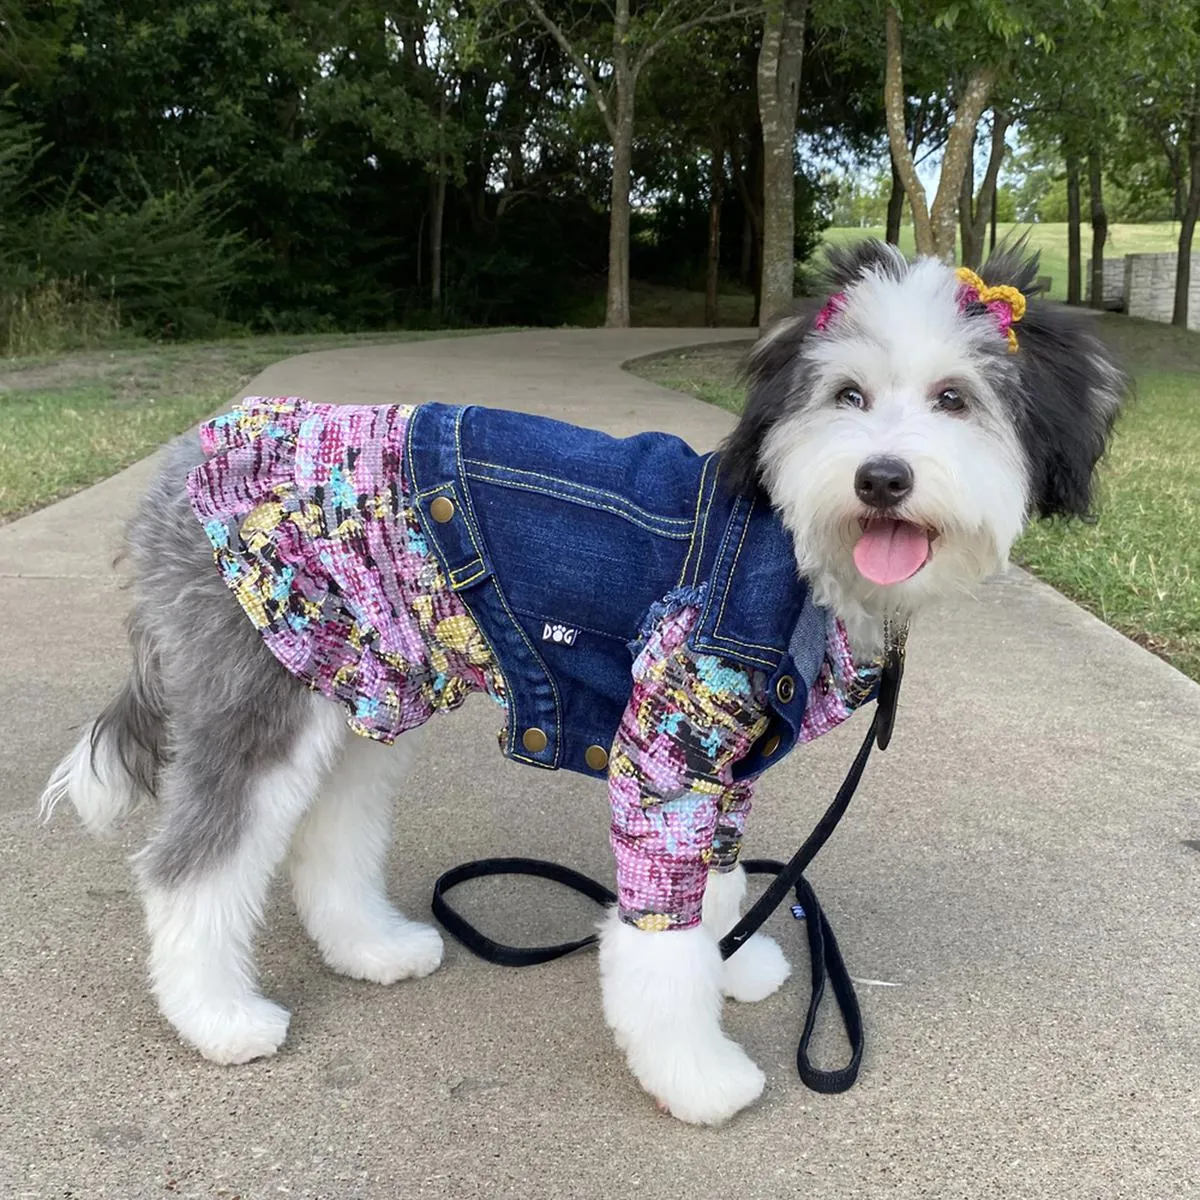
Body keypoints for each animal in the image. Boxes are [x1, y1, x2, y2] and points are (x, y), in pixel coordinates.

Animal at [39, 241, 1123, 1123]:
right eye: (848, 397)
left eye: (955, 400)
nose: (883, 478)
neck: (800, 551)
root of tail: (178, 468)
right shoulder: (665, 751)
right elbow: (656, 939)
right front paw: (698, 1073)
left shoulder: (722, 768)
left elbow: (715, 888)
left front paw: (734, 964)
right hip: (261, 686)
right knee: (193, 867)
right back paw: (220, 1020)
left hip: (362, 683)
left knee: (326, 834)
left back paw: (373, 949)